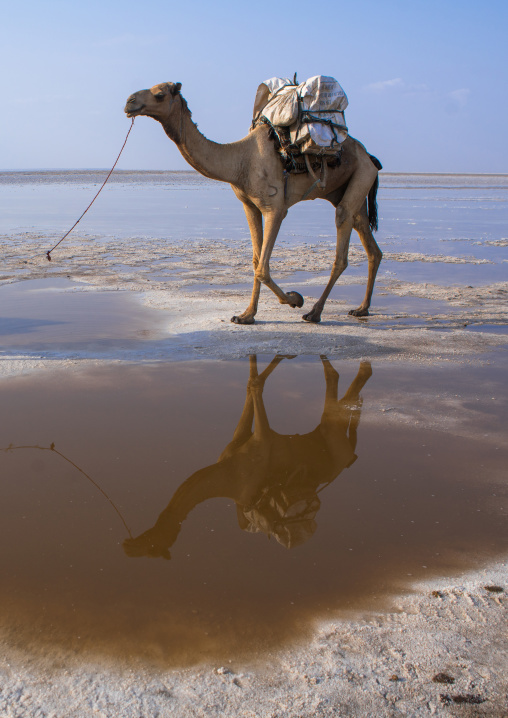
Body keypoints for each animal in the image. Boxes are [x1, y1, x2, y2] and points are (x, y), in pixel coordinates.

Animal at [123, 355, 372, 559]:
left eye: (152, 548)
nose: (126, 547)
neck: (227, 474)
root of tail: (348, 460)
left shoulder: (263, 444)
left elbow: (256, 384)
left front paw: (281, 354)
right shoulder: (239, 440)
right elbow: (250, 383)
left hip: (335, 445)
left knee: (338, 394)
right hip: (327, 439)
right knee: (335, 388)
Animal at [124, 82, 382, 323]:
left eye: (160, 94)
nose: (129, 102)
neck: (239, 161)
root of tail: (370, 157)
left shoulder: (275, 209)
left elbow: (262, 269)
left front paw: (295, 299)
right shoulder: (249, 206)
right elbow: (256, 261)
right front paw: (246, 315)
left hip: (361, 175)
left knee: (342, 239)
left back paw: (315, 312)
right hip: (348, 187)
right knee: (370, 243)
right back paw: (361, 308)